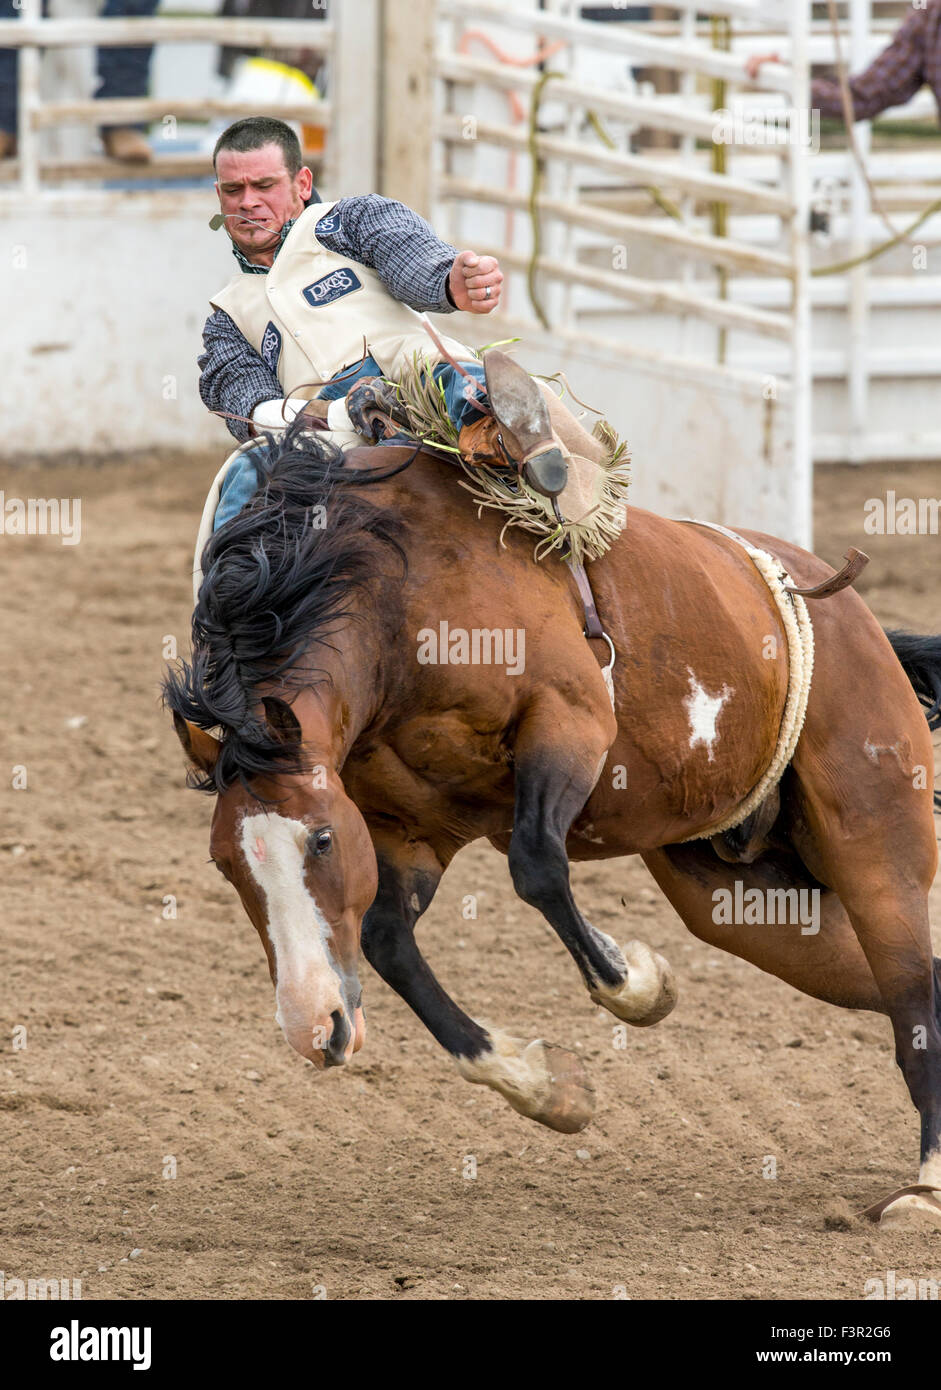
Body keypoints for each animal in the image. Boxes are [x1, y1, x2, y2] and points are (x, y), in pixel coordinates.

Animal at [164, 423, 941, 1229]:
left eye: (319, 838)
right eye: (225, 864)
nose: (313, 1030)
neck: (397, 595)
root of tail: (856, 620)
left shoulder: (570, 723)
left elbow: (536, 865)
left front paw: (638, 981)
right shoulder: (409, 829)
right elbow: (388, 942)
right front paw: (547, 1087)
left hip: (876, 853)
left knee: (915, 1004)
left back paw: (924, 1188)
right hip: (754, 904)